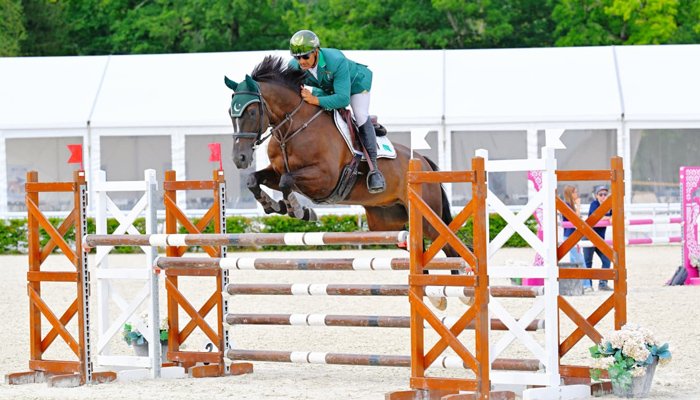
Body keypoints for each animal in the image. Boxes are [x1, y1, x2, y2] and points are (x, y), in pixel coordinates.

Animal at [224, 56, 467, 308]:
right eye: (231, 113)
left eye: (252, 112)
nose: (240, 158)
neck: (292, 129)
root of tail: (423, 161)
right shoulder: (276, 171)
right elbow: (255, 180)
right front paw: (275, 205)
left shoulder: (324, 178)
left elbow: (286, 181)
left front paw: (298, 210)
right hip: (385, 222)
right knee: (414, 246)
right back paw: (435, 294)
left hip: (427, 217)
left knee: (448, 244)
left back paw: (459, 291)